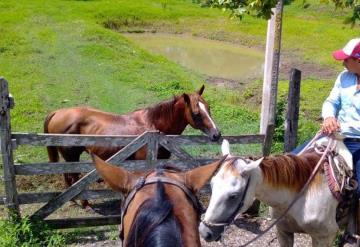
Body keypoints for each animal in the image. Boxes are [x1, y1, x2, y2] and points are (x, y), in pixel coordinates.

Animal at [44, 86, 221, 207]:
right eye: (196, 113)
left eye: (209, 108)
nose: (216, 134)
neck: (153, 125)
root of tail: (57, 113)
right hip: (71, 156)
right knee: (73, 178)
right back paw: (83, 203)